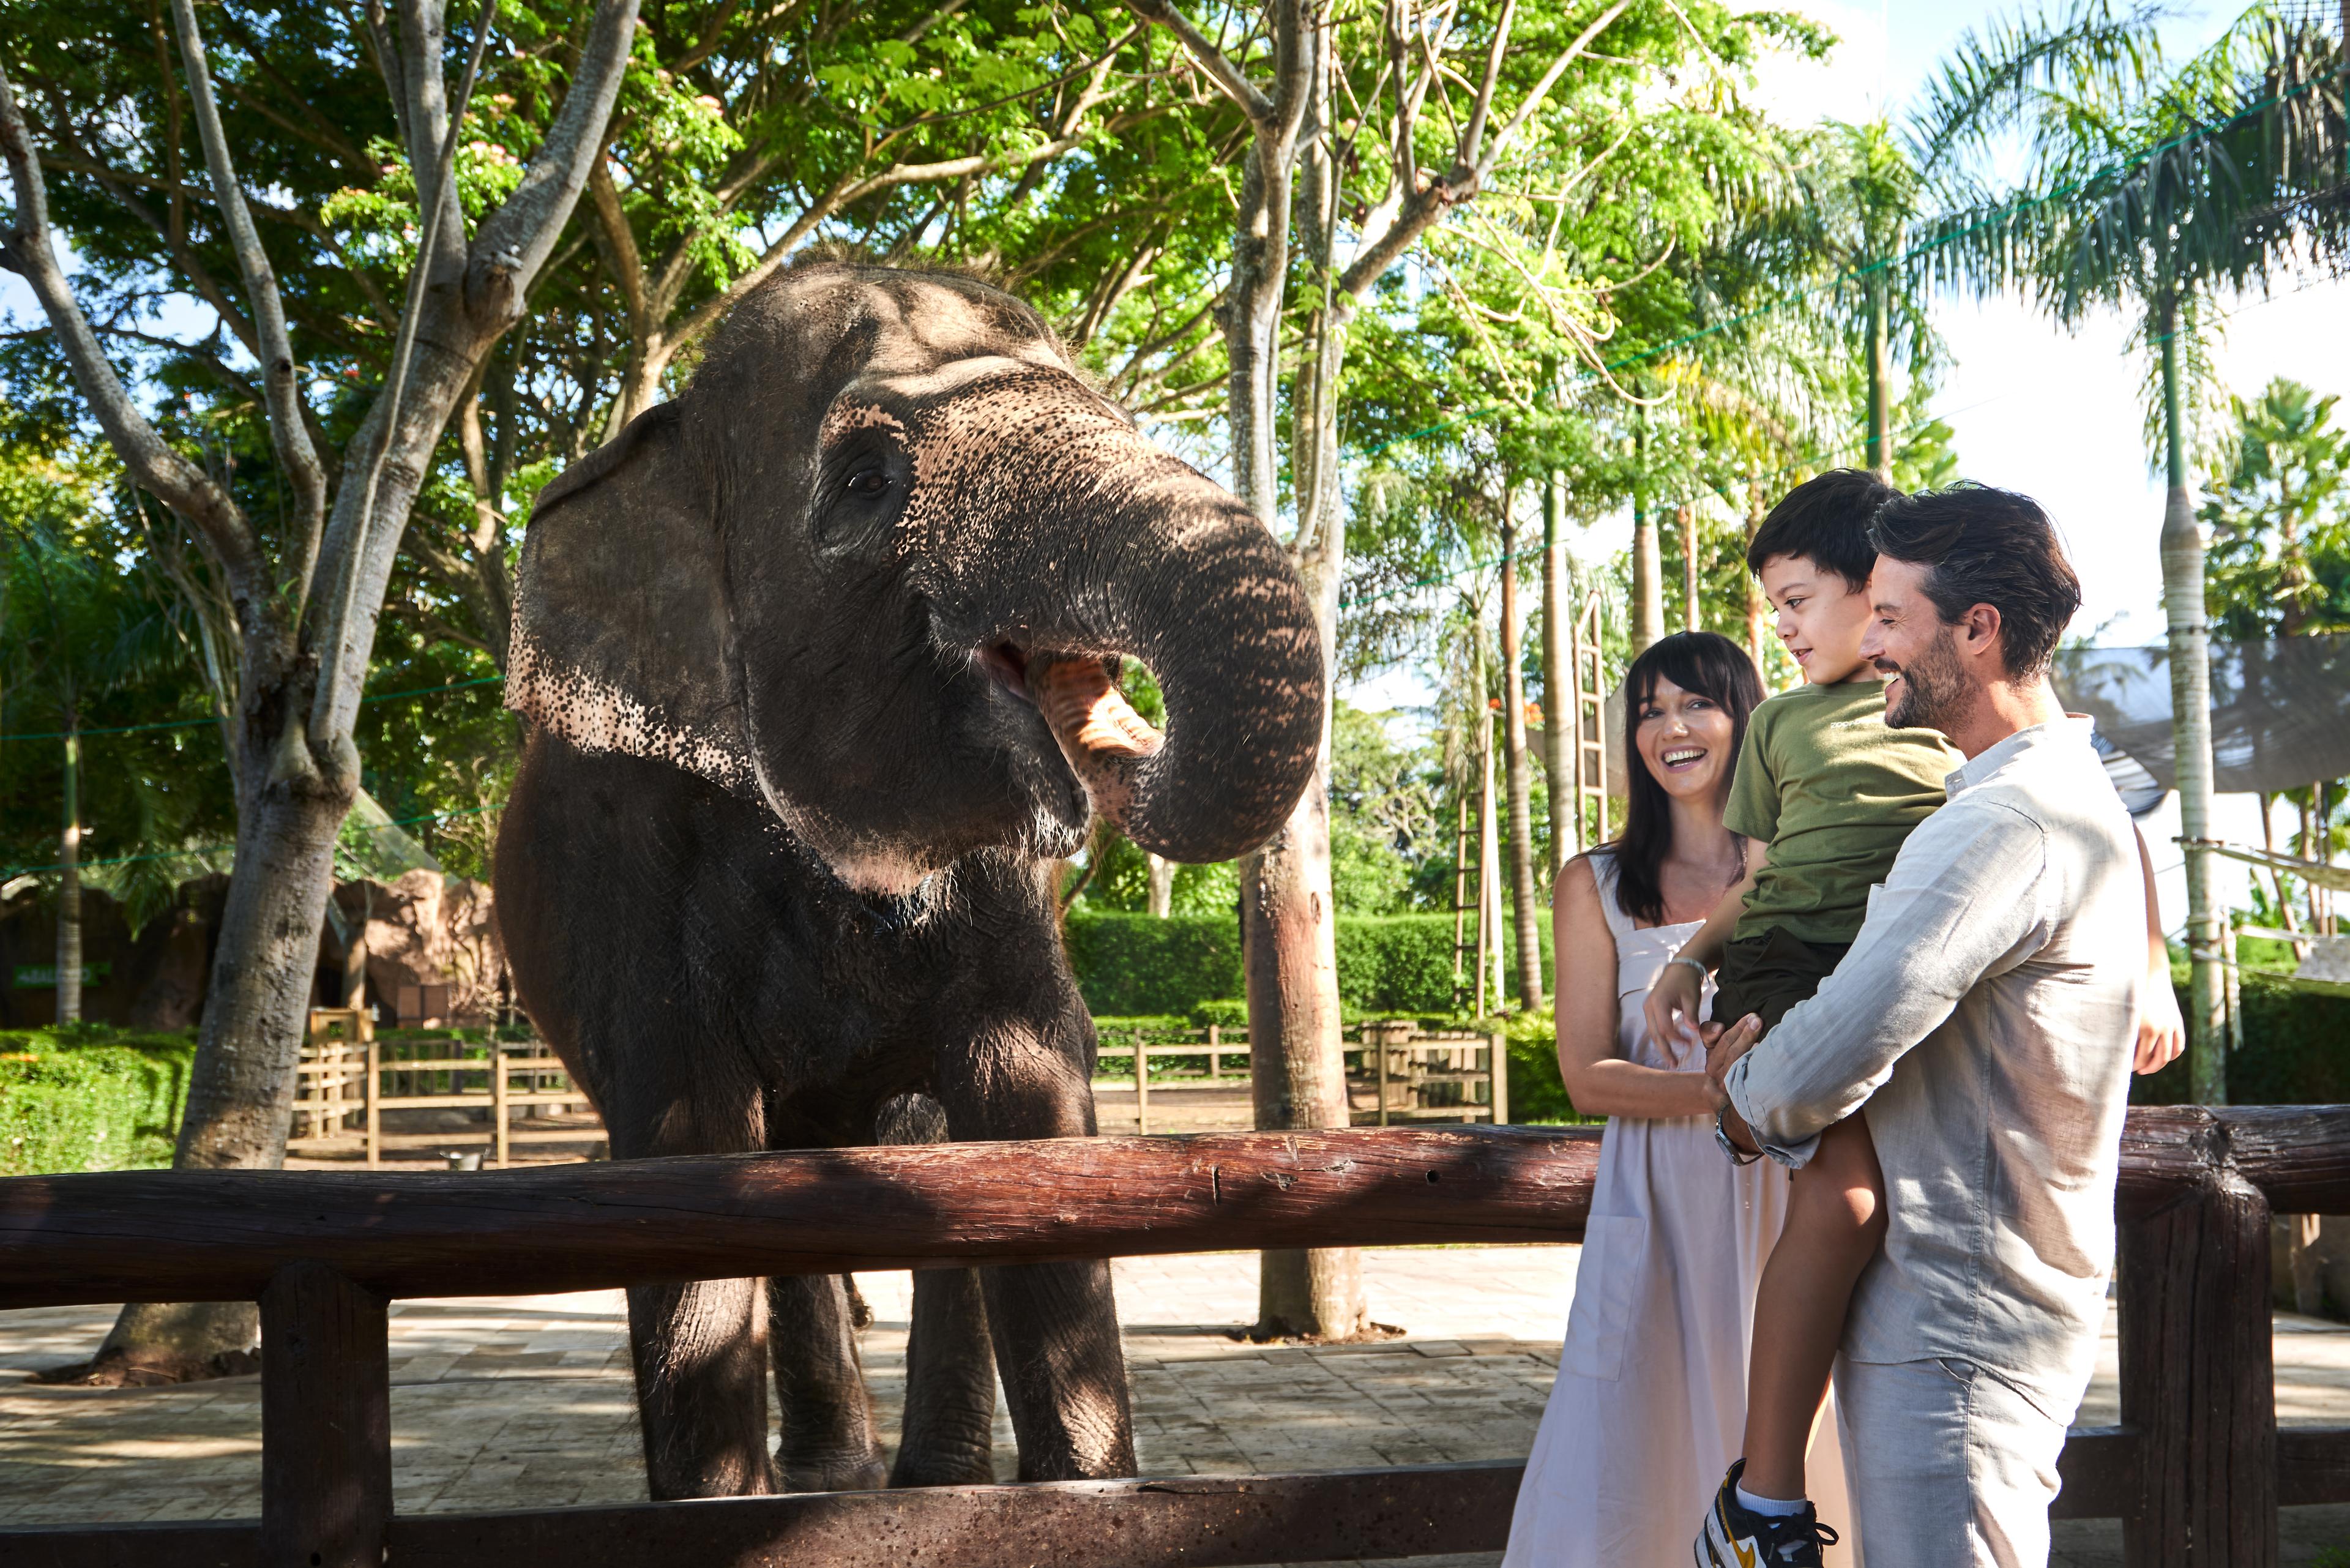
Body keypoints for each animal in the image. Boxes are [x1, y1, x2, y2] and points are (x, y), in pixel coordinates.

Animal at [492, 258, 1324, 1499]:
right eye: (868, 479)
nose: (1106, 726)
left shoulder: (1008, 894)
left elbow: (1025, 1108)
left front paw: (1087, 1498)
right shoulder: (633, 858)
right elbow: (690, 1157)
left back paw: (926, 1482)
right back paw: (836, 1480)